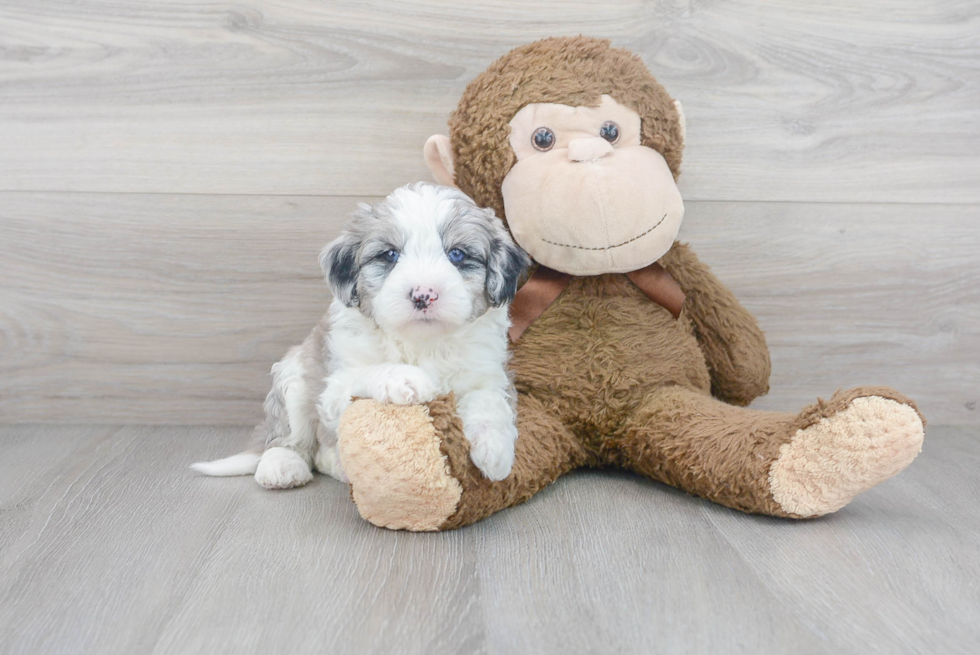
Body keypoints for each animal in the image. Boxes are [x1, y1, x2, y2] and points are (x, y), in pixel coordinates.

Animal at [190, 182, 528, 490]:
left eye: (457, 254)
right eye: (390, 255)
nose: (423, 294)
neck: (421, 344)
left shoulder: (488, 372)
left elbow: (489, 402)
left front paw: (496, 452)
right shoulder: (334, 384)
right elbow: (370, 372)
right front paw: (405, 378)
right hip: (294, 377)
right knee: (288, 436)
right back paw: (282, 465)